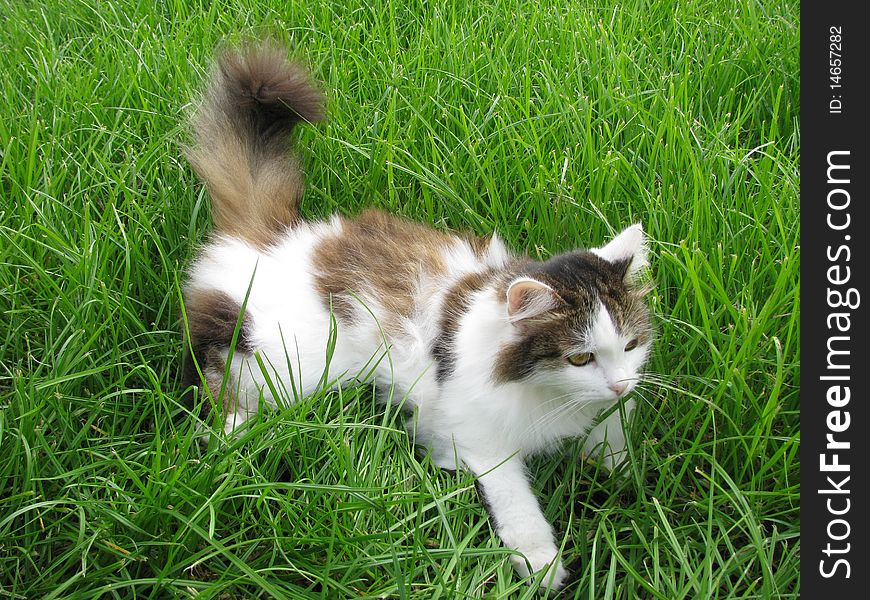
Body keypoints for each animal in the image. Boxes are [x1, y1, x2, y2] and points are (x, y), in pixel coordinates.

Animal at [181, 42, 656, 592]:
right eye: (580, 358)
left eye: (629, 347)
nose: (620, 384)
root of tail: (280, 238)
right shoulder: (480, 436)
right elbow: (517, 505)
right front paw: (540, 564)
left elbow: (614, 433)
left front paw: (618, 467)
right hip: (286, 366)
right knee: (220, 382)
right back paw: (229, 436)